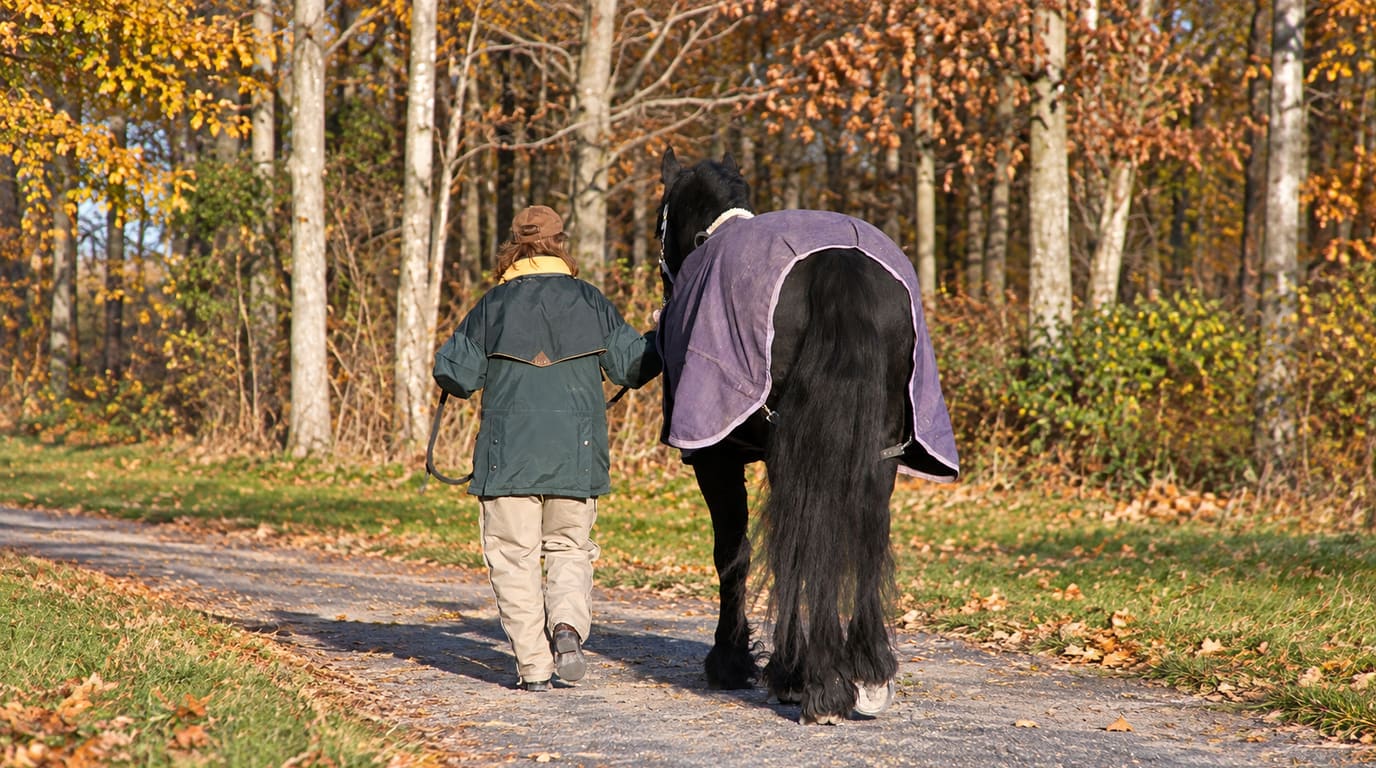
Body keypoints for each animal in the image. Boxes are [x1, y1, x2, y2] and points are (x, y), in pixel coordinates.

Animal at [654, 148, 960, 724]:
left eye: (659, 222)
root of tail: (840, 263)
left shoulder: (717, 458)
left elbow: (734, 552)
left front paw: (733, 662)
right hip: (877, 449)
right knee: (864, 538)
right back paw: (865, 673)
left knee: (799, 539)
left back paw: (810, 680)